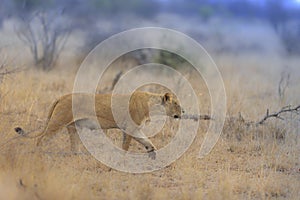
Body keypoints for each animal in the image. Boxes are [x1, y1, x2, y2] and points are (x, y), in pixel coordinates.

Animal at [14, 91, 183, 156]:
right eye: (176, 103)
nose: (184, 112)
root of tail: (62, 96)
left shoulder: (135, 129)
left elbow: (146, 141)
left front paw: (152, 152)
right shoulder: (129, 127)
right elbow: (125, 146)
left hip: (73, 127)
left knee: (73, 147)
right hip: (57, 122)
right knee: (41, 139)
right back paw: (37, 155)